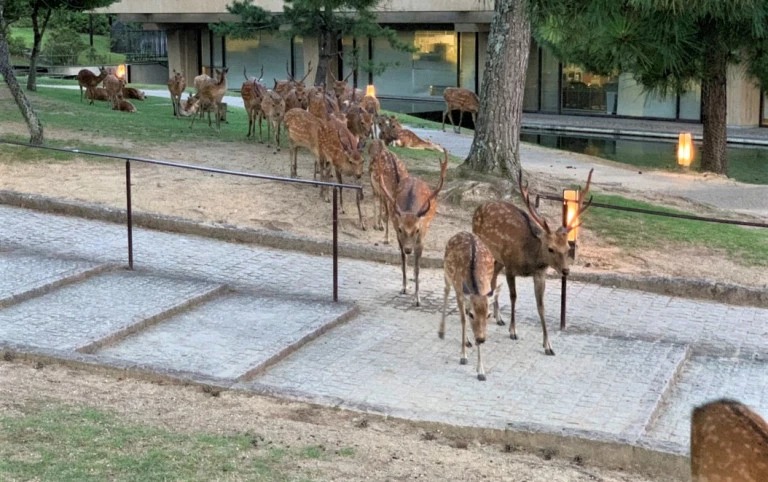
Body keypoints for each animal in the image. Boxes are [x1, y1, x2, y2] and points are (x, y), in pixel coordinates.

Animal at [380, 148, 450, 306]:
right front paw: (404, 287)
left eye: (417, 229)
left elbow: (418, 267)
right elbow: (403, 261)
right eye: (400, 228)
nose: (408, 249)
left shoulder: (421, 237)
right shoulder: (398, 236)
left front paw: (417, 298)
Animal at [438, 233, 498, 380]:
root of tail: (462, 232)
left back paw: (467, 341)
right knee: (446, 291)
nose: (481, 339)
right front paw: (463, 356)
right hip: (447, 272)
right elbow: (464, 321)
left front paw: (481, 371)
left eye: (489, 315)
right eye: (472, 314)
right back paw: (441, 331)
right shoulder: (459, 293)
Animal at [468, 168, 592, 356]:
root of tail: (478, 207)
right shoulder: (510, 266)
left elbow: (541, 306)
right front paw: (513, 331)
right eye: (550, 248)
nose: (566, 271)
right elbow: (513, 297)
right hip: (485, 248)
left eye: (567, 247)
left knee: (493, 278)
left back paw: (498, 317)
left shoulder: (539, 273)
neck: (529, 259)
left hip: (498, 258)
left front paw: (548, 345)